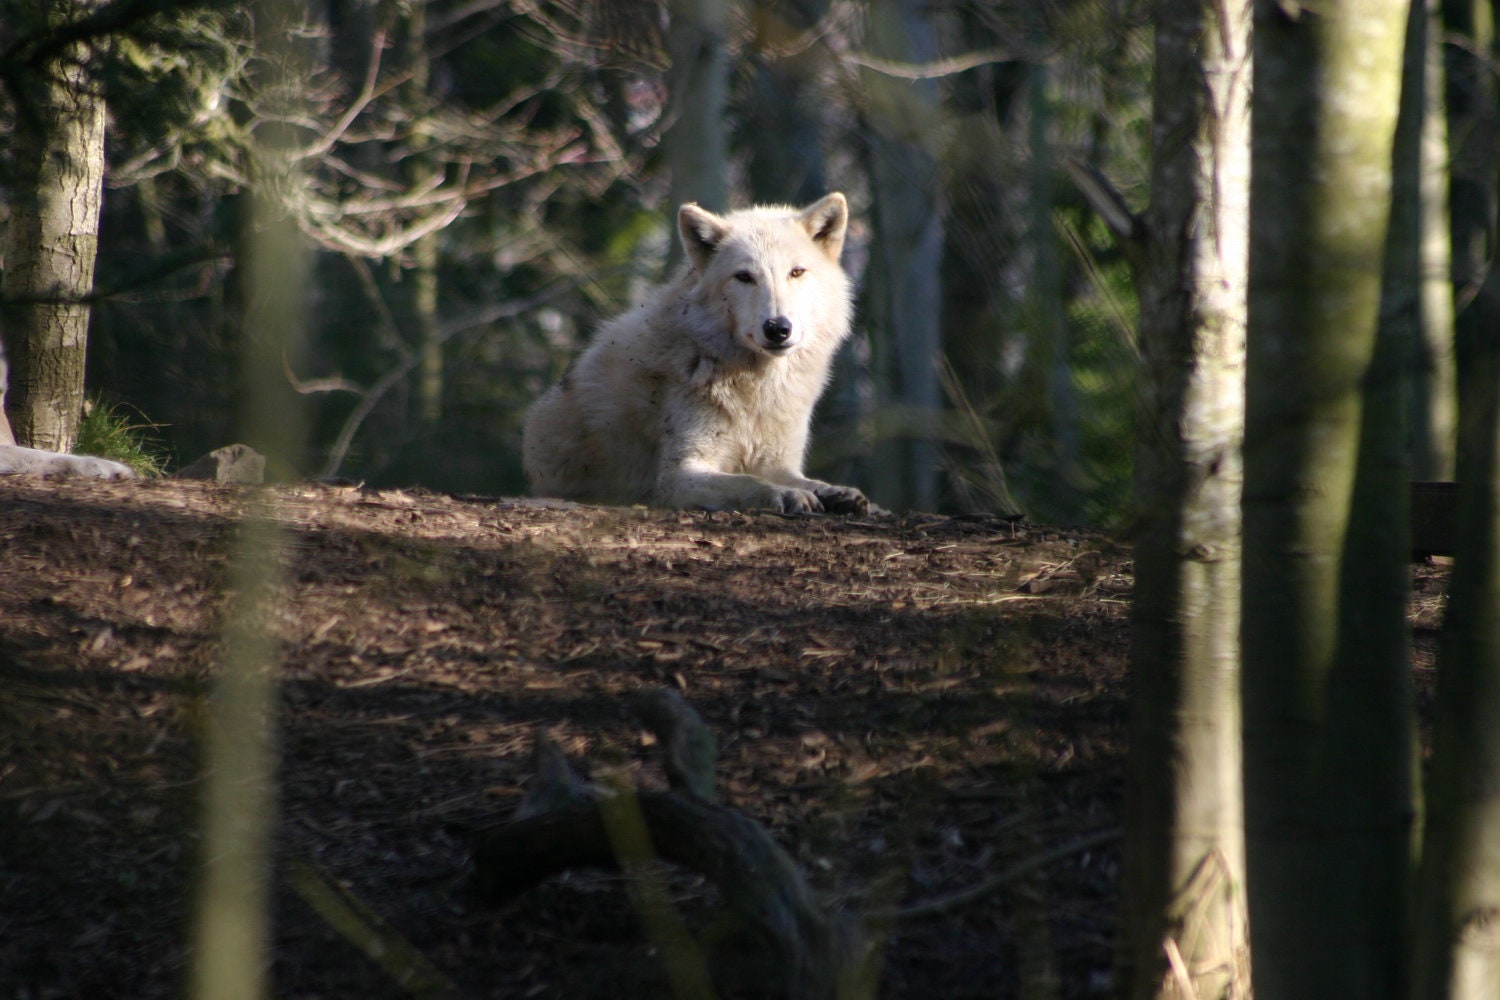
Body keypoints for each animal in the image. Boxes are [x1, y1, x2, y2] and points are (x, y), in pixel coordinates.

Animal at [523, 193, 868, 515]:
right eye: (744, 277)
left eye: (796, 272)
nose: (777, 328)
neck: (756, 387)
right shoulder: (678, 475)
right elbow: (749, 482)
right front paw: (787, 495)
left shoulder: (777, 462)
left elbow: (805, 480)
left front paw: (836, 492)